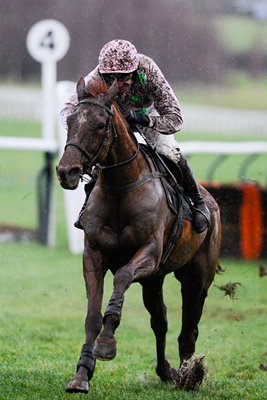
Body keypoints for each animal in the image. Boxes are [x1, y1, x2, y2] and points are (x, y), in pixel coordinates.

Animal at [56, 77, 222, 394]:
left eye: (100, 125)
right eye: (70, 121)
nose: (66, 171)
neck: (121, 188)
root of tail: (213, 203)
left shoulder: (149, 254)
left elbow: (121, 278)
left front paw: (106, 345)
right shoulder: (94, 255)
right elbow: (92, 315)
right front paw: (82, 375)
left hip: (197, 277)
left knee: (189, 328)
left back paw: (189, 375)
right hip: (154, 280)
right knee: (161, 320)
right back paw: (166, 371)